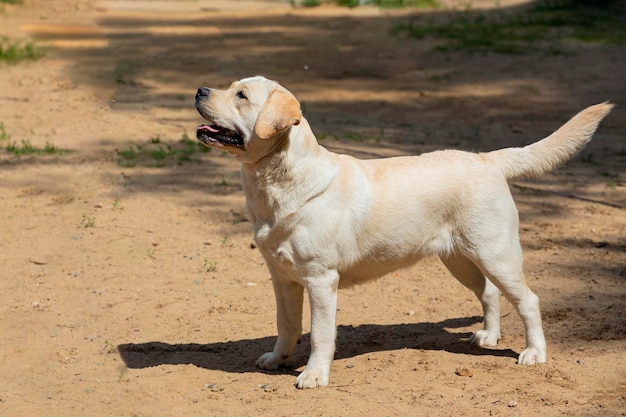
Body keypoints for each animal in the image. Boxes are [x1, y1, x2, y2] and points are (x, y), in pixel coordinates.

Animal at [194, 75, 608, 390]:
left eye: (241, 95)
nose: (199, 90)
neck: (279, 186)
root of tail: (486, 159)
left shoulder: (321, 279)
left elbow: (321, 333)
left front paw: (313, 375)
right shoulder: (282, 278)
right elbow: (287, 325)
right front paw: (278, 360)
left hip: (497, 254)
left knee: (529, 300)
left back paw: (534, 353)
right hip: (462, 261)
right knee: (490, 294)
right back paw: (488, 336)